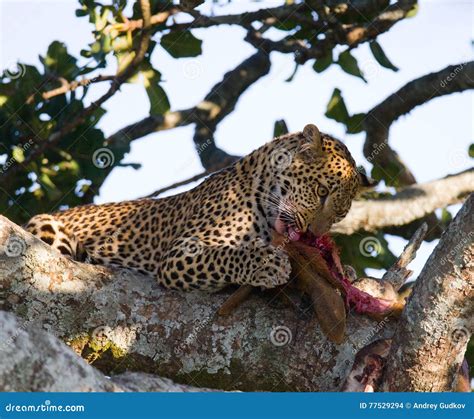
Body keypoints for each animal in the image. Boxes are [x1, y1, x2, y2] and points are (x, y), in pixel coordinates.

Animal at [25, 124, 370, 292]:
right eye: (321, 191)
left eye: (339, 215)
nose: (313, 233)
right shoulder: (180, 254)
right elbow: (224, 256)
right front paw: (265, 264)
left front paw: (346, 272)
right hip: (43, 223)